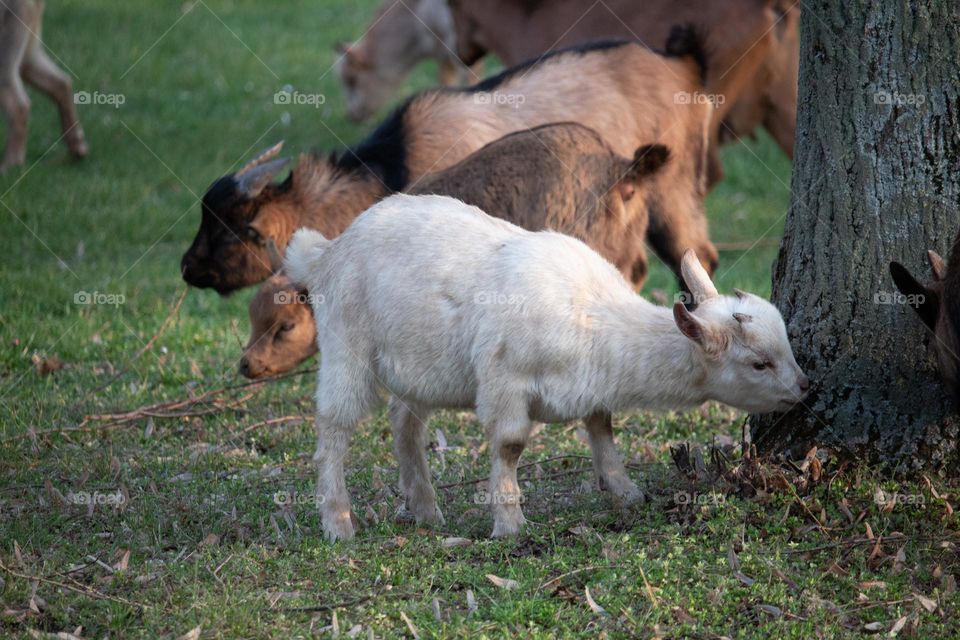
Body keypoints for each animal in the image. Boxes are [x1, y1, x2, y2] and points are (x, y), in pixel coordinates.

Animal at [182, 26, 716, 294]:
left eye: (232, 231)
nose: (188, 268)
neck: (394, 163)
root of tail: (680, 64)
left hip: (673, 195)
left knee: (696, 256)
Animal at [284, 194, 809, 540]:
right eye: (759, 363)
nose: (805, 388)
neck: (595, 316)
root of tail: (327, 252)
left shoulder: (590, 385)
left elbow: (601, 426)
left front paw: (625, 492)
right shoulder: (505, 381)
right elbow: (510, 444)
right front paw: (510, 524)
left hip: (419, 364)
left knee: (404, 423)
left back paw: (427, 510)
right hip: (346, 345)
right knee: (334, 427)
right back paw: (339, 523)